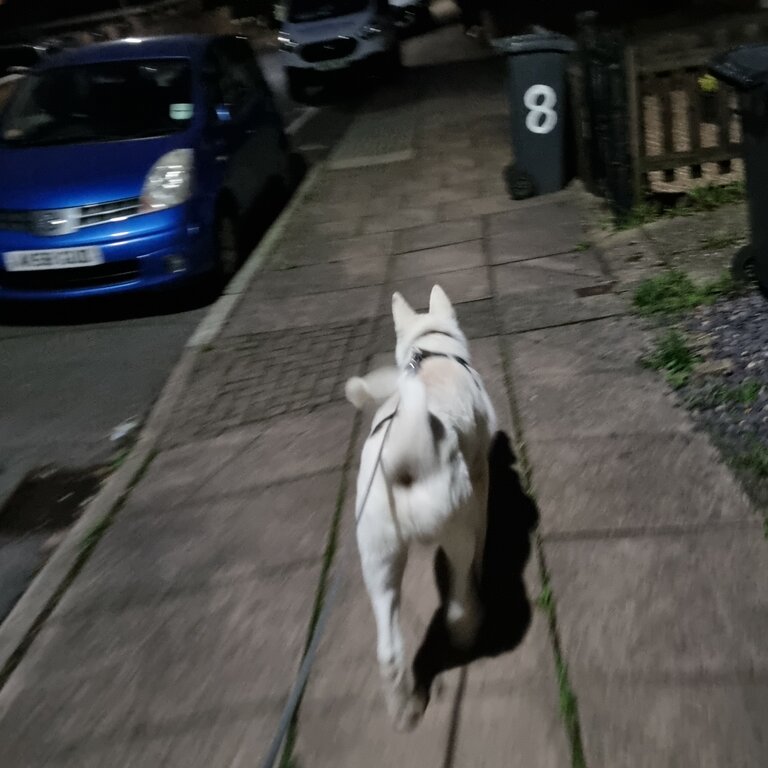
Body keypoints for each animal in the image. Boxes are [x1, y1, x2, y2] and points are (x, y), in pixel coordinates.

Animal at [344, 284, 498, 728]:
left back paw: (406, 711)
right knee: (457, 602)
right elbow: (484, 527)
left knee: (390, 652)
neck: (432, 353)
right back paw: (469, 628)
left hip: (378, 558)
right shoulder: (481, 473)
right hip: (454, 530)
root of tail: (404, 457)